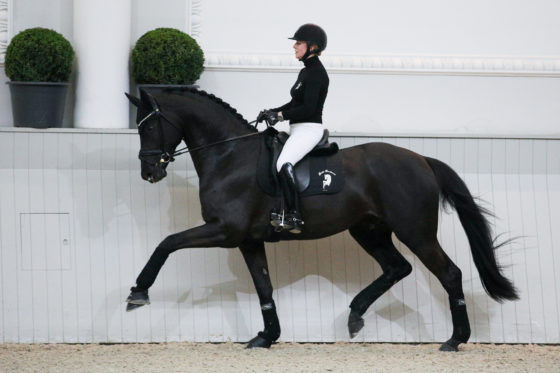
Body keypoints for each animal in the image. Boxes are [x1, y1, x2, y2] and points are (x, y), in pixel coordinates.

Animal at [124, 88, 520, 350]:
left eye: (148, 127)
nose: (148, 172)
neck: (229, 155)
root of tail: (421, 159)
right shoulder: (248, 240)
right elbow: (264, 287)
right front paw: (266, 337)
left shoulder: (225, 231)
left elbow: (167, 243)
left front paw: (138, 293)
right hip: (369, 230)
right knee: (397, 268)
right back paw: (356, 315)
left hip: (415, 232)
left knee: (449, 273)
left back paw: (455, 339)